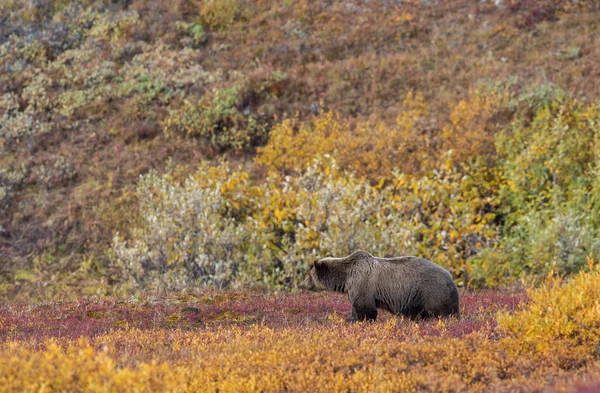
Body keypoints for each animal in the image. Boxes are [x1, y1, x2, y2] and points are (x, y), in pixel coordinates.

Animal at [300, 250, 460, 320]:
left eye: (309, 275)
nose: (302, 284)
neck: (346, 278)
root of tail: (451, 279)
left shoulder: (363, 285)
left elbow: (365, 309)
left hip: (432, 293)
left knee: (442, 313)